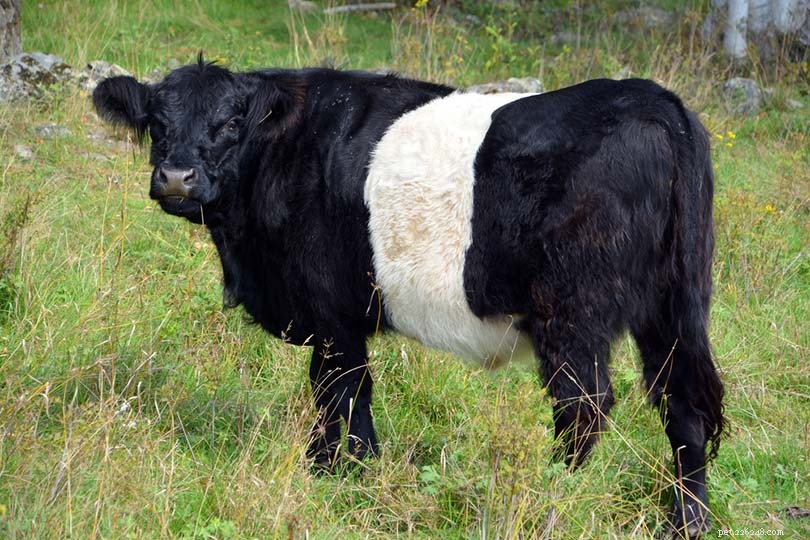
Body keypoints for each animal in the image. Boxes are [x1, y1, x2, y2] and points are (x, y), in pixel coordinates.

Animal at [93, 57, 724, 537]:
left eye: (230, 122)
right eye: (155, 123)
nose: (177, 178)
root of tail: (651, 100)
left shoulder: (331, 315)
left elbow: (340, 392)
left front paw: (338, 474)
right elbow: (346, 395)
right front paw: (349, 472)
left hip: (573, 311)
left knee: (584, 406)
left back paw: (547, 498)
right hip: (671, 309)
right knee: (683, 406)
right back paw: (684, 523)